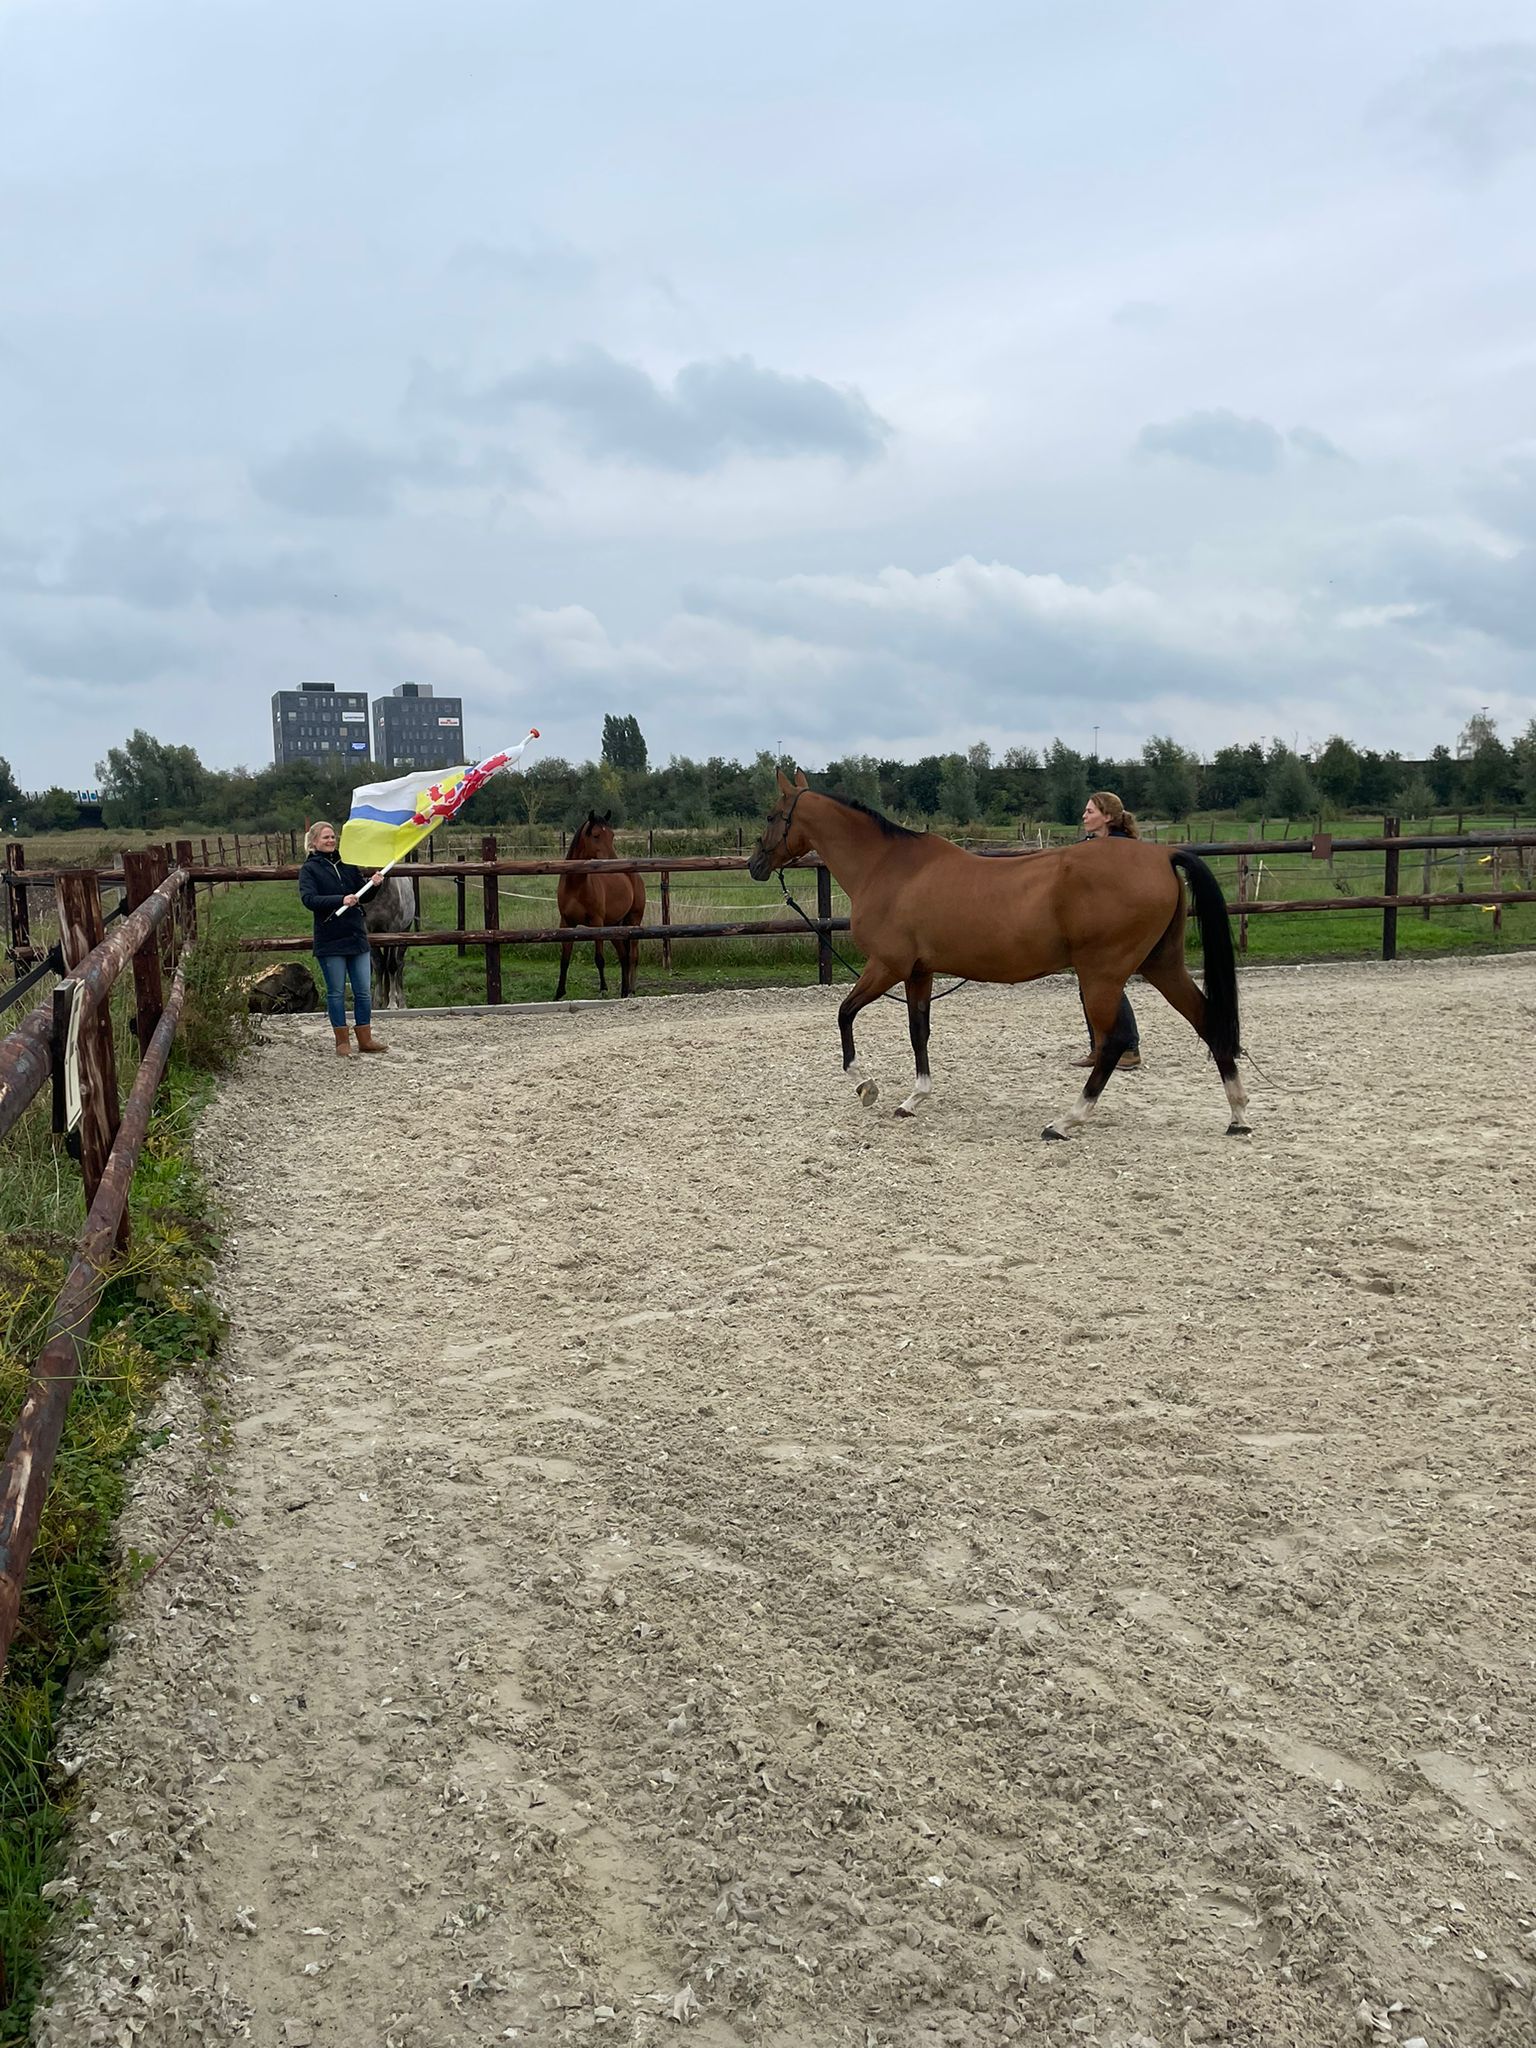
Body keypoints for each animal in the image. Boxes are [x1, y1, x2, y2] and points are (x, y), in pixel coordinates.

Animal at [557, 819, 647, 1003]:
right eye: (596, 835)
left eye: (612, 835)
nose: (615, 863)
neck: (576, 886)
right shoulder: (566, 923)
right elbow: (565, 959)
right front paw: (559, 993)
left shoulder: (596, 923)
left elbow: (599, 958)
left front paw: (603, 990)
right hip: (614, 926)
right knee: (623, 956)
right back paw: (623, 991)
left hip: (633, 920)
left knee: (633, 956)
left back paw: (631, 991)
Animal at [749, 770, 1253, 1138]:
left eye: (773, 815)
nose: (755, 866)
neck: (890, 869)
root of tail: (1162, 855)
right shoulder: (919, 973)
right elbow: (918, 1033)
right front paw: (914, 1099)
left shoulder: (887, 967)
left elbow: (844, 1014)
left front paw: (864, 1084)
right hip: (1161, 965)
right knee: (1207, 1021)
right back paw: (1238, 1115)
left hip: (1102, 975)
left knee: (1111, 1043)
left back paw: (1066, 1121)